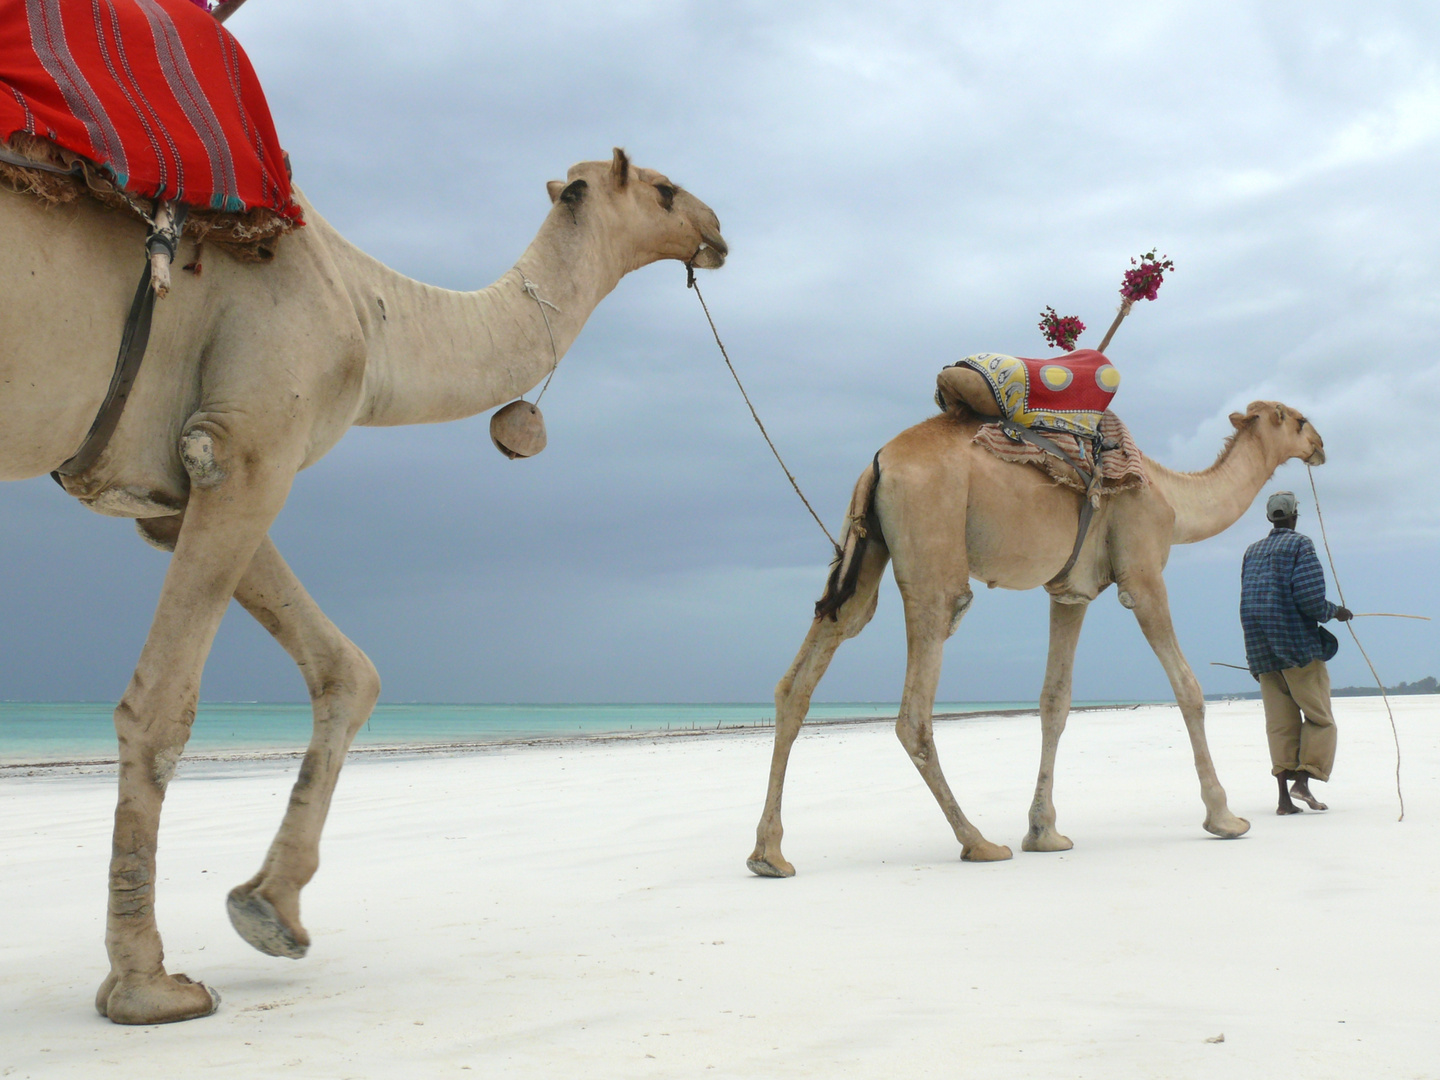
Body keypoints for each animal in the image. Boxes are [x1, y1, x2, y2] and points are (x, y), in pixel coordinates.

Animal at [0, 148, 725, 1025]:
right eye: (664, 190)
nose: (717, 230)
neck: (369, 309)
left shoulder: (181, 484)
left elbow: (349, 669)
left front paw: (269, 908)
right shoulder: (248, 442)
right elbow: (161, 706)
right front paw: (147, 985)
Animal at [754, 397, 1324, 881]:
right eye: (1297, 420)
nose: (1320, 444)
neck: (1173, 498)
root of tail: (877, 465)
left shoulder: (1070, 593)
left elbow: (1055, 702)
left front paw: (1044, 832)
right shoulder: (1142, 572)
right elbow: (1188, 688)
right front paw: (1225, 817)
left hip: (865, 547)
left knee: (808, 668)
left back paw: (769, 853)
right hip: (932, 551)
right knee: (915, 708)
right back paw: (978, 841)